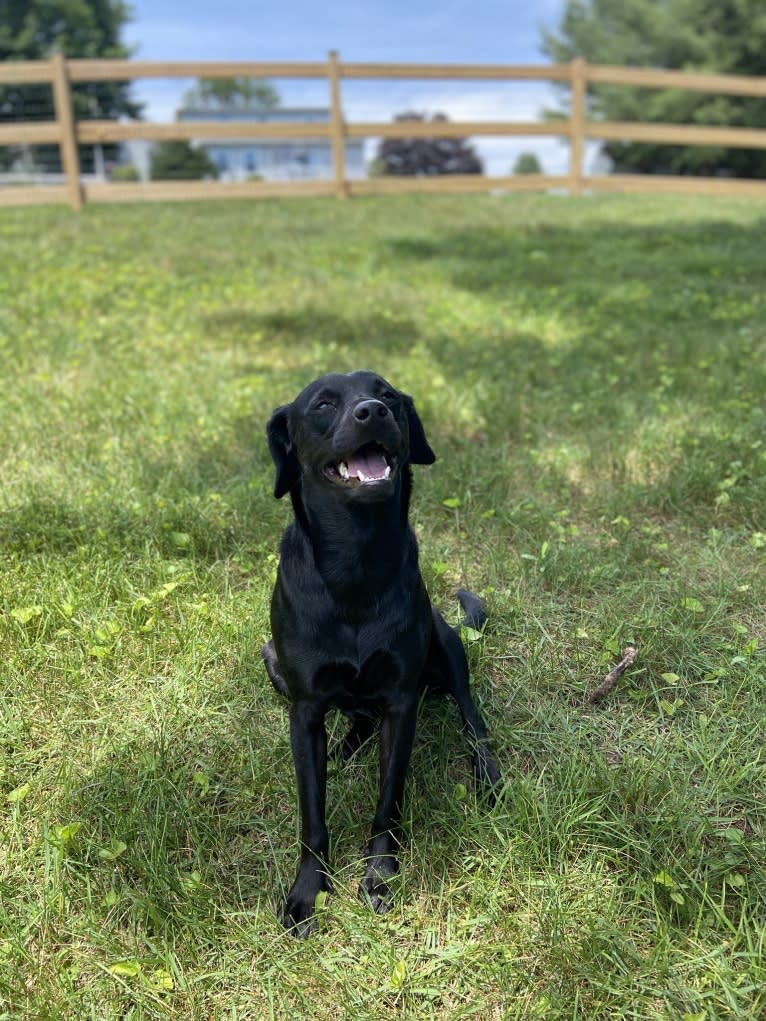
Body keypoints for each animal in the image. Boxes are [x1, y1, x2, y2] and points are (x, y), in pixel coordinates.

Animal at [263, 371, 504, 935]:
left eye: (388, 394)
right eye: (323, 404)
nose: (374, 411)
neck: (357, 558)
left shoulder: (400, 703)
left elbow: (388, 801)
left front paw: (379, 875)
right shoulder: (304, 709)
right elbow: (313, 814)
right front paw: (308, 890)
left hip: (447, 644)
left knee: (470, 716)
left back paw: (487, 772)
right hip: (282, 669)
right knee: (355, 719)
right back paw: (346, 748)